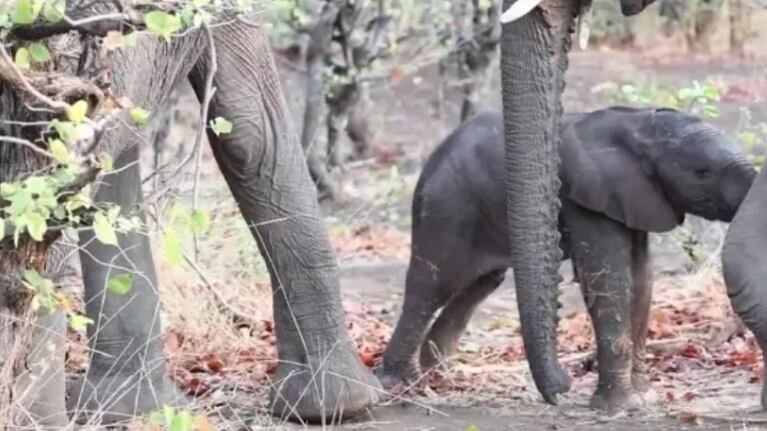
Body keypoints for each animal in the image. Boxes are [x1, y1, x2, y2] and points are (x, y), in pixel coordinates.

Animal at [378, 106, 756, 411]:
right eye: (702, 173)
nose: (564, 388)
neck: (640, 125)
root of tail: (434, 155)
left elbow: (641, 279)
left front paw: (643, 400)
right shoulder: (589, 196)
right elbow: (608, 275)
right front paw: (616, 408)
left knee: (478, 285)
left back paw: (439, 373)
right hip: (448, 206)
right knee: (432, 285)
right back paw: (402, 383)